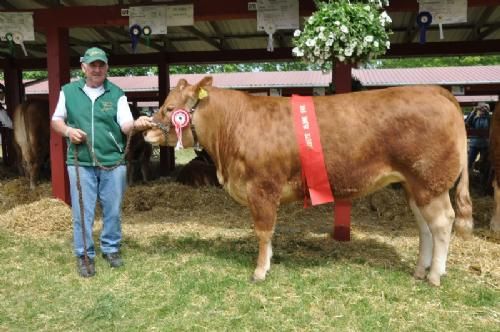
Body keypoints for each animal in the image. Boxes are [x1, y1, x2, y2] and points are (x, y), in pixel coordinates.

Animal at [144, 77, 472, 286]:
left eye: (170, 108)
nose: (147, 131)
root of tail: (436, 91)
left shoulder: (262, 189)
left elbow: (263, 231)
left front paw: (260, 271)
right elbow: (269, 234)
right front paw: (269, 262)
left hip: (430, 181)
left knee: (442, 222)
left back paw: (434, 276)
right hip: (414, 185)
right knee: (424, 226)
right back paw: (420, 270)